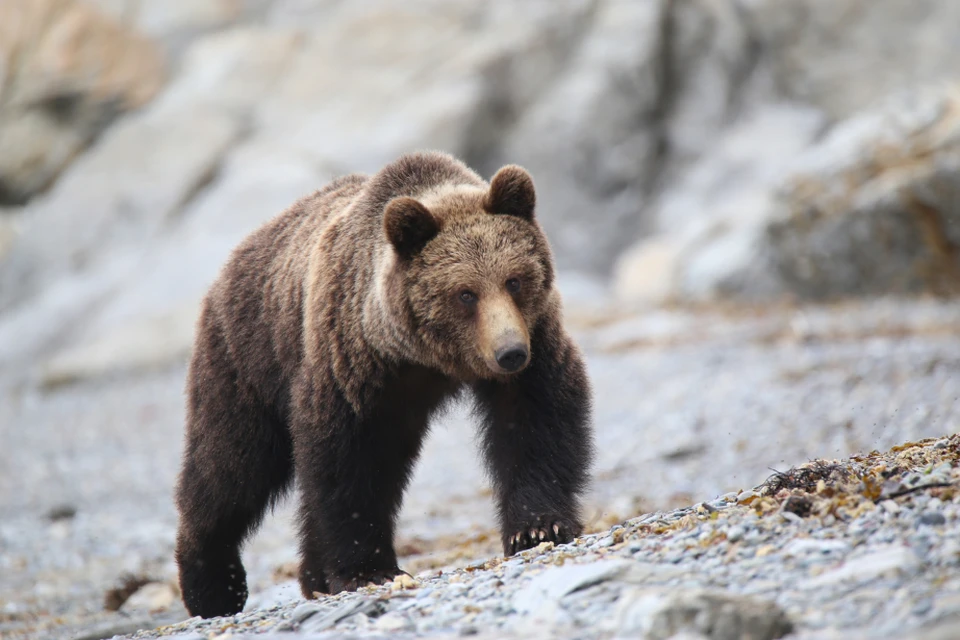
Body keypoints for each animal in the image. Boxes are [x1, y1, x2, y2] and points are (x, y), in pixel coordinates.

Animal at [172, 151, 592, 620]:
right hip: (247, 359)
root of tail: (230, 263)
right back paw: (212, 586)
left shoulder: (532, 343)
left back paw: (313, 576)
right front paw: (368, 571)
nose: (510, 353)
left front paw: (538, 528)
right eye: (465, 293)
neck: (426, 359)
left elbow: (536, 421)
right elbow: (350, 461)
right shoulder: (354, 366)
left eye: (514, 280)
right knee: (231, 466)